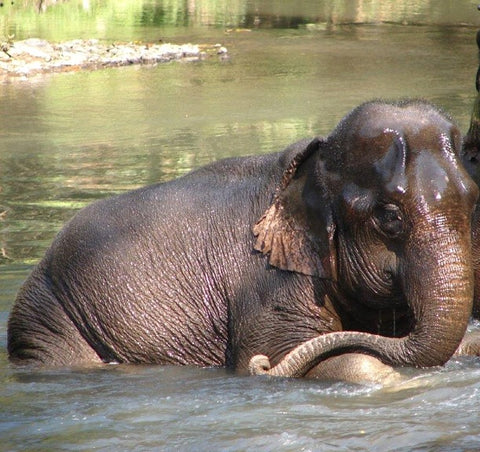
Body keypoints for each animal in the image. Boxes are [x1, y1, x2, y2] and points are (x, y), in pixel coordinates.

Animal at [7, 99, 480, 382]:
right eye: (389, 217)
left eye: (473, 200)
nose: (262, 367)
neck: (315, 161)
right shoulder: (268, 280)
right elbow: (293, 350)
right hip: (50, 323)